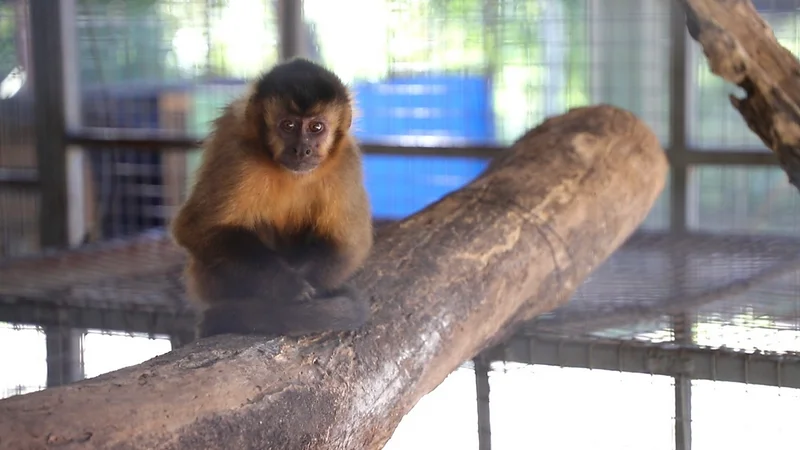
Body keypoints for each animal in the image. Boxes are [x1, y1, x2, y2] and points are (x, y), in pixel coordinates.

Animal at [170, 58, 374, 339]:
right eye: (288, 126)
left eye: (316, 127)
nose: (301, 149)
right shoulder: (239, 156)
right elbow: (197, 228)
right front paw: (287, 287)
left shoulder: (346, 162)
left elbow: (347, 245)